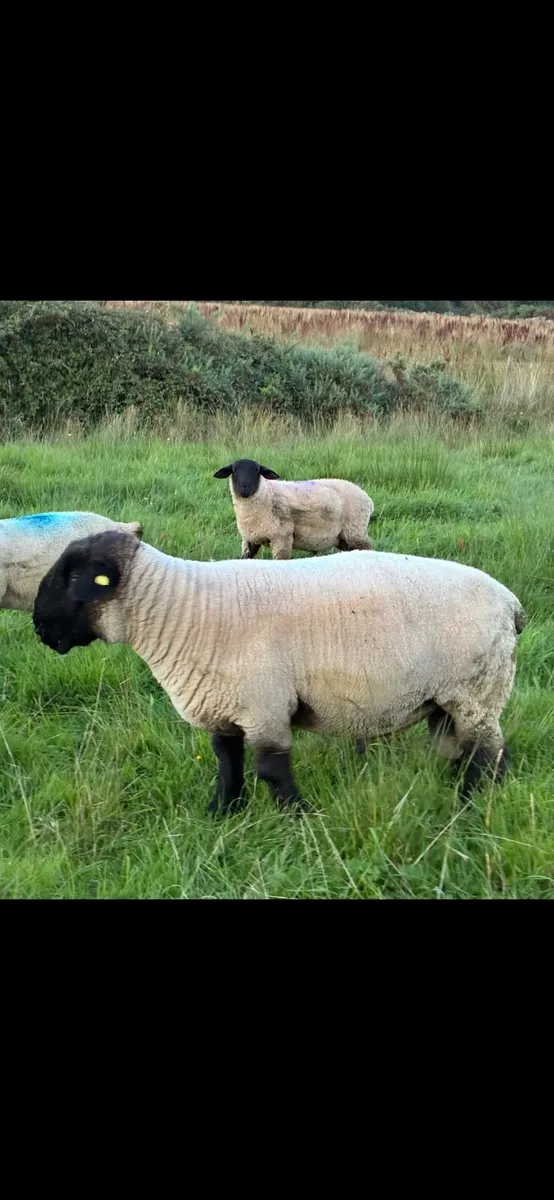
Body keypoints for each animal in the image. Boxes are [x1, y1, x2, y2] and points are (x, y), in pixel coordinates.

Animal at [32, 530, 526, 816]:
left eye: (73, 578)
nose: (39, 628)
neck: (181, 610)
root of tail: (510, 603)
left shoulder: (264, 707)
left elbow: (271, 771)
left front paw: (300, 818)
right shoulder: (224, 708)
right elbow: (226, 763)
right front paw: (222, 813)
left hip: (477, 690)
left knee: (487, 750)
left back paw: (470, 805)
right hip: (448, 699)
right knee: (467, 747)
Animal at [213, 458, 374, 559]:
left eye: (257, 470)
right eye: (234, 470)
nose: (244, 488)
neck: (267, 494)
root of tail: (367, 499)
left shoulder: (282, 537)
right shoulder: (250, 540)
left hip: (355, 532)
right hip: (344, 538)